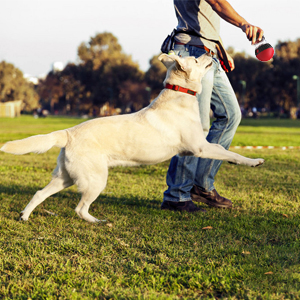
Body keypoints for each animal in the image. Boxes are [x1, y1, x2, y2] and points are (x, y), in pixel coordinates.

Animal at [0, 54, 264, 223]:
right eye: (197, 60)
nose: (211, 53)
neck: (179, 95)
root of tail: (68, 132)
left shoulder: (195, 149)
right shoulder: (200, 147)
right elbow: (228, 151)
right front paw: (253, 161)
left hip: (65, 177)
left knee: (39, 193)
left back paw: (25, 216)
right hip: (95, 180)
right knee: (79, 208)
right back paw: (97, 221)